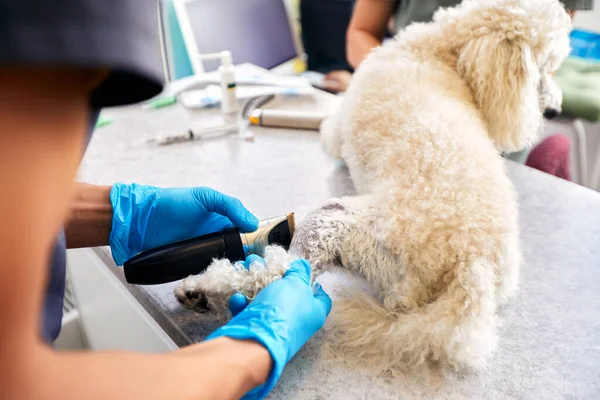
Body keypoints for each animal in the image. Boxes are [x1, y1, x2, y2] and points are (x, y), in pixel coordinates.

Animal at [173, 0, 572, 370]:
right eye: (545, 67)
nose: (555, 109)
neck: (440, 48)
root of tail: (473, 266)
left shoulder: (337, 134)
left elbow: (328, 132)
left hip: (343, 226)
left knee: (277, 273)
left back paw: (202, 290)